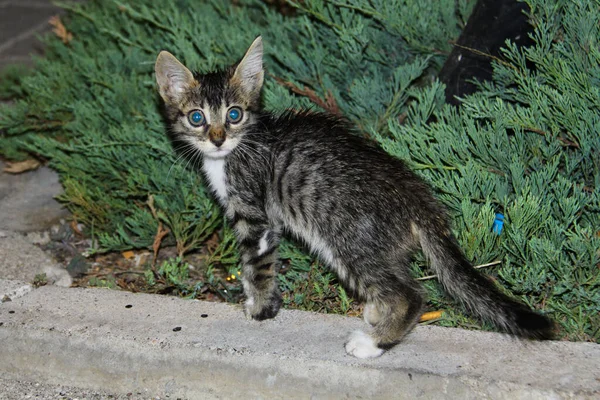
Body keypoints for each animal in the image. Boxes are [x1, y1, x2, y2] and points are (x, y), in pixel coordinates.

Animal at [155, 36, 552, 356]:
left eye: (234, 114)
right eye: (196, 117)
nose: (217, 139)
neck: (237, 150)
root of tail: (419, 199)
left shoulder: (255, 215)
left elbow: (257, 265)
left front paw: (259, 308)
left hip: (348, 238)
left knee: (411, 294)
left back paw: (375, 343)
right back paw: (378, 313)